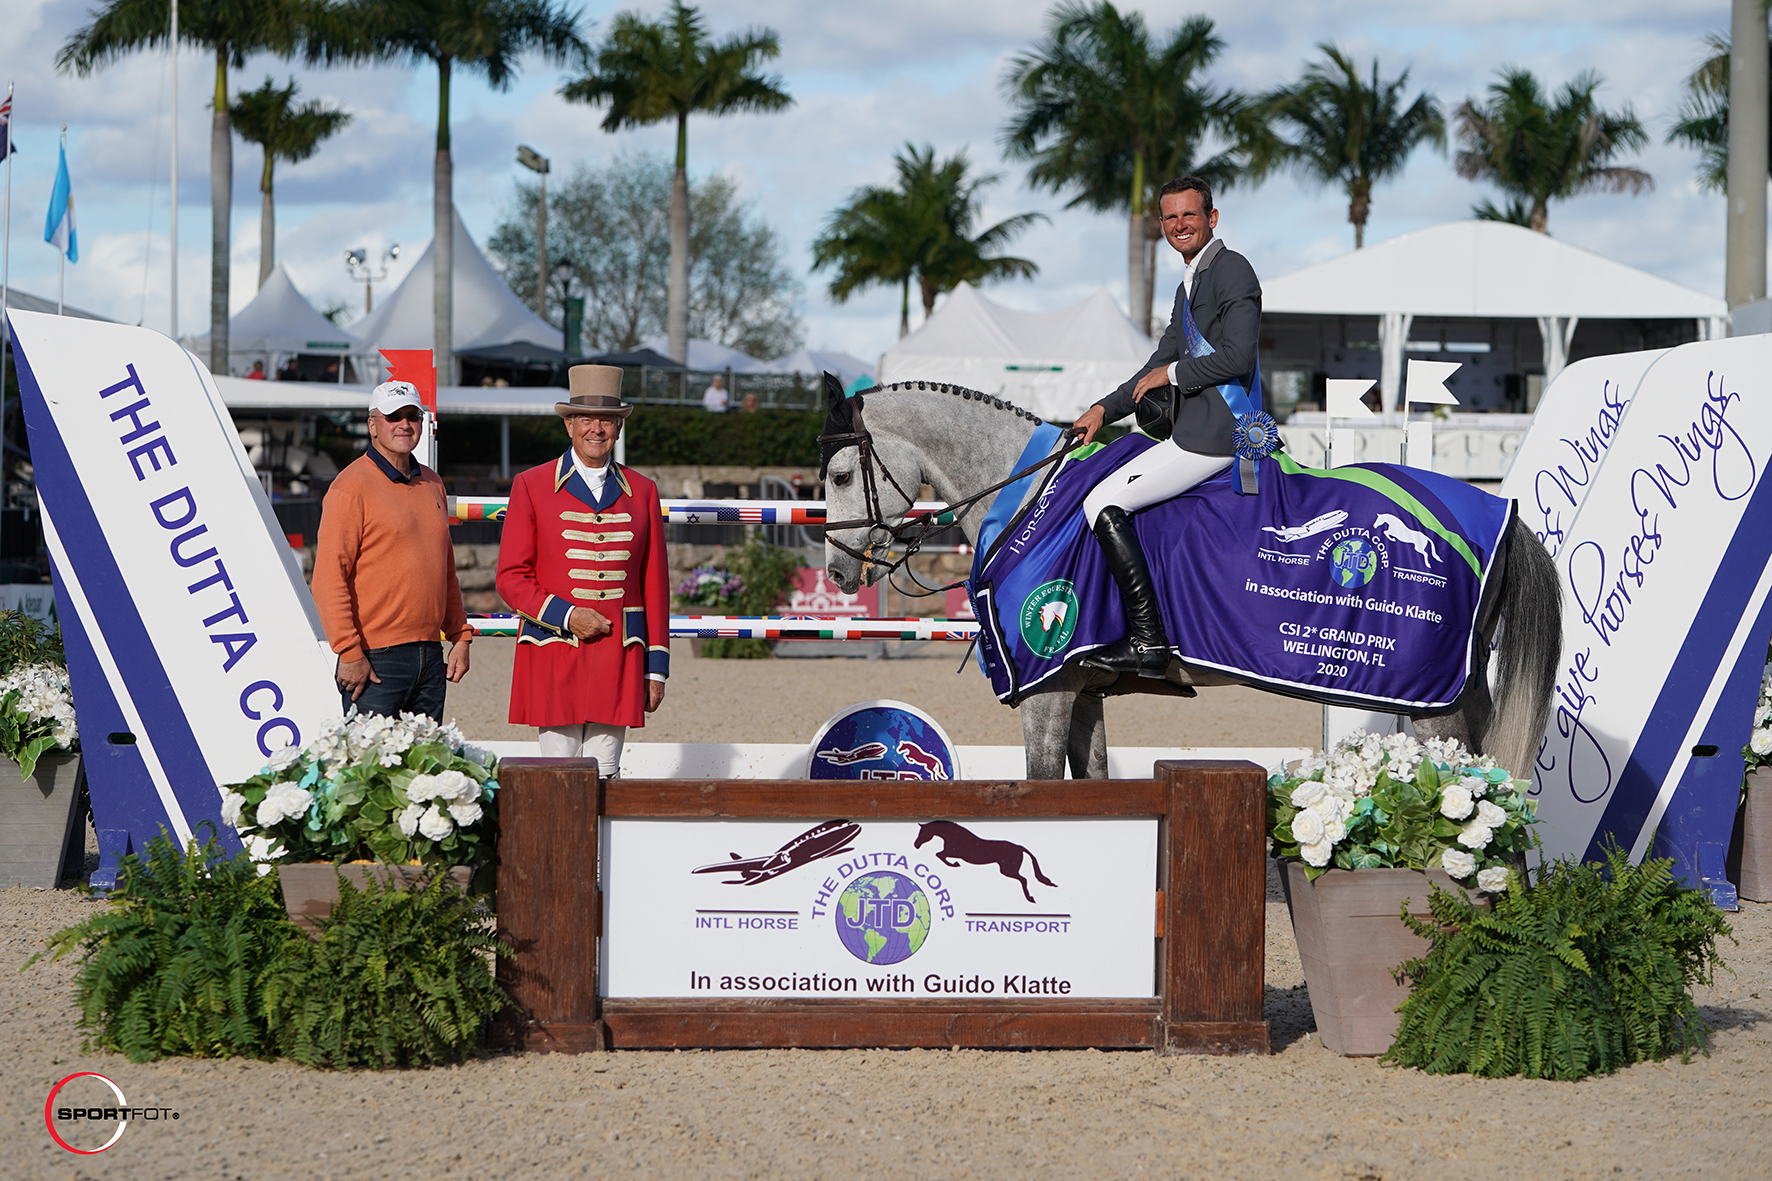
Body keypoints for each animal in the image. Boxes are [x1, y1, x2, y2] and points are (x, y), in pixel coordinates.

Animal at [822, 379, 1559, 780]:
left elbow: (1043, 783)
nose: (835, 569)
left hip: (1434, 705)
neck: (1029, 492)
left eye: (837, 475)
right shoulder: (1084, 691)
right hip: (1462, 693)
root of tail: (1497, 516)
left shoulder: (1049, 688)